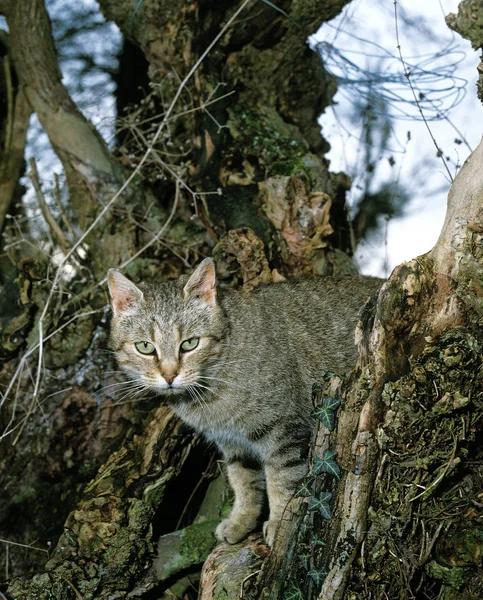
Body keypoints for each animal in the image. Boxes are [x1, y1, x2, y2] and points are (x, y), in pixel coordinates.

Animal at [108, 260, 384, 548]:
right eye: (145, 347)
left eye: (190, 344)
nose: (170, 376)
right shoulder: (233, 444)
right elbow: (243, 482)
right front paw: (241, 520)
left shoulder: (285, 433)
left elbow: (282, 481)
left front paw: (278, 523)